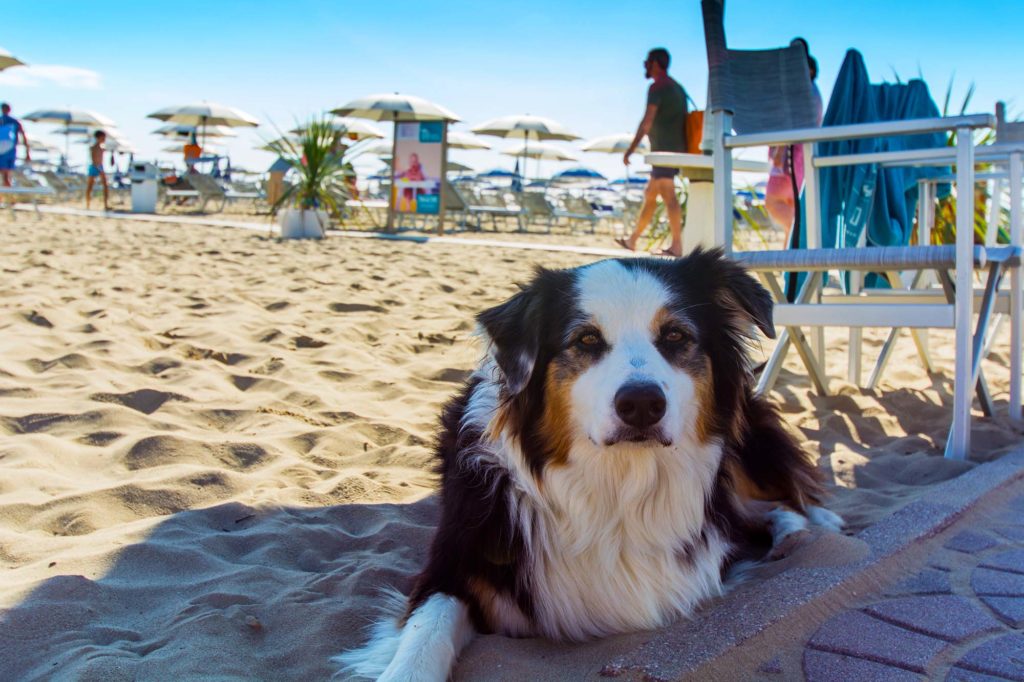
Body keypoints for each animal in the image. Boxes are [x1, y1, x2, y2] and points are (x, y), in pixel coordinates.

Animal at [335, 246, 839, 675]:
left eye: (676, 336)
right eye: (587, 339)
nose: (641, 404)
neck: (616, 486)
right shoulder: (452, 563)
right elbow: (426, 631)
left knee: (780, 497)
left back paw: (807, 530)